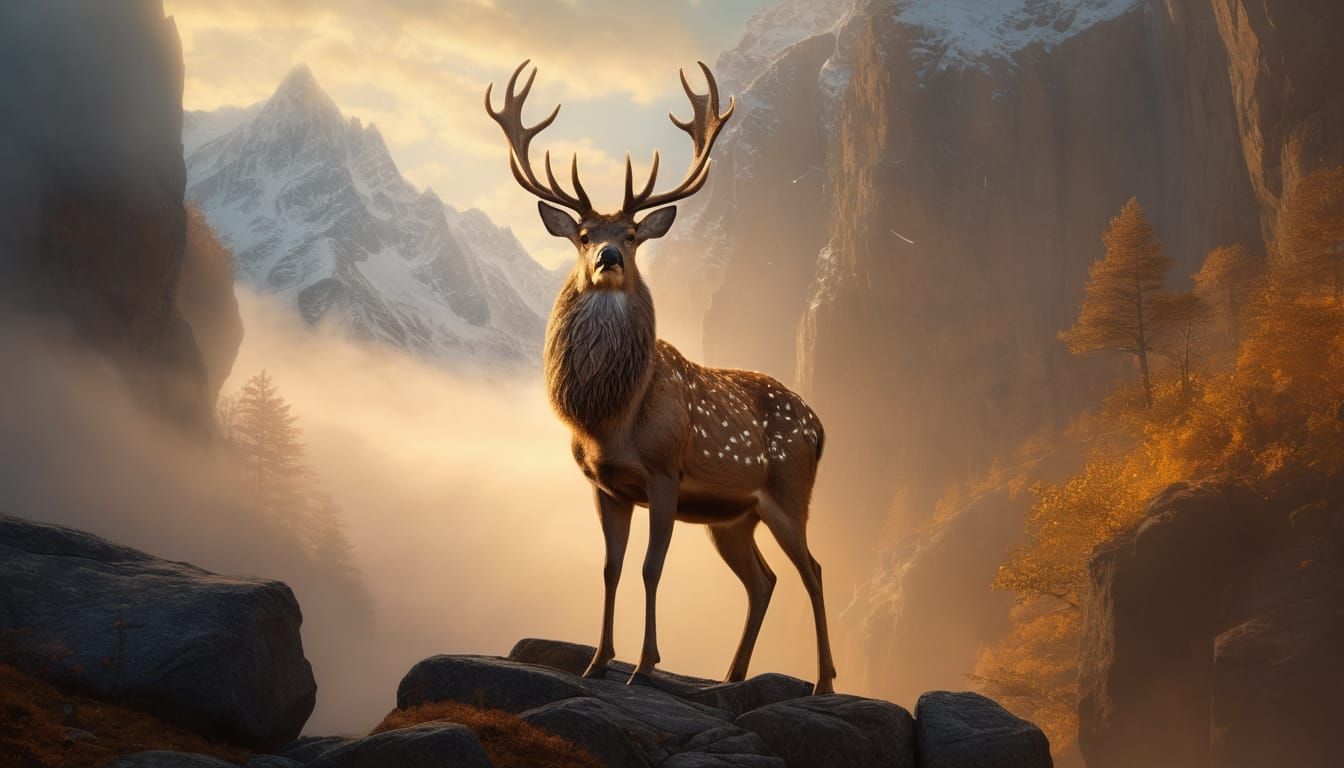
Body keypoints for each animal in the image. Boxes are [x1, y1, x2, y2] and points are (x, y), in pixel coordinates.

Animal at [486, 60, 836, 695]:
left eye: (630, 235)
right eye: (583, 235)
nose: (608, 259)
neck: (610, 421)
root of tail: (820, 426)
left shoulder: (665, 472)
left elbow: (652, 568)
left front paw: (644, 666)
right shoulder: (604, 485)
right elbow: (611, 567)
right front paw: (598, 660)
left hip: (789, 489)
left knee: (814, 569)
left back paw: (824, 681)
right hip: (734, 517)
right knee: (764, 580)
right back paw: (730, 677)